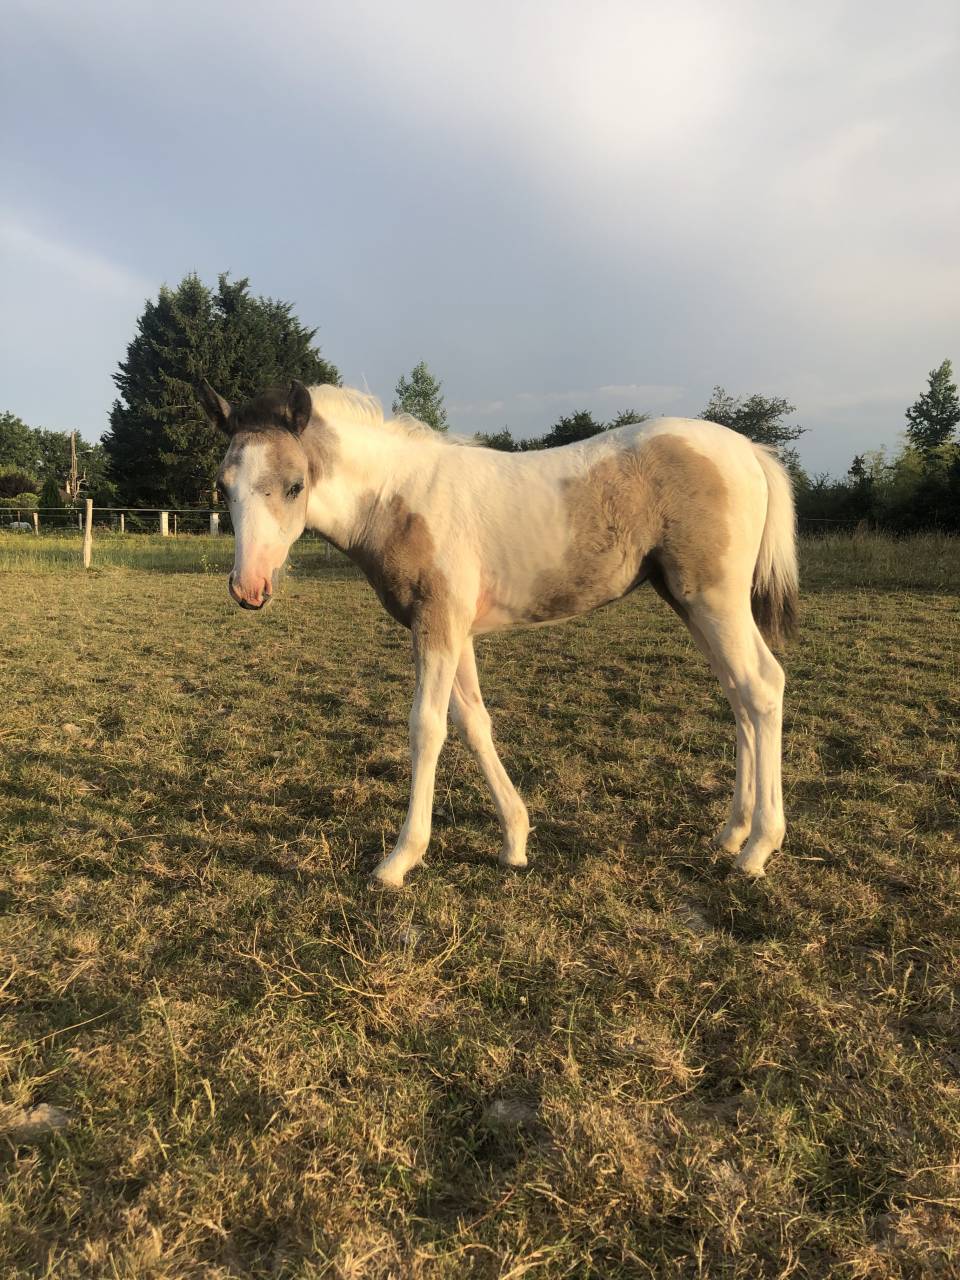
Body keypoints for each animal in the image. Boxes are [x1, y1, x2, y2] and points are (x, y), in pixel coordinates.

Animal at [197, 379, 798, 889]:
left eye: (295, 485)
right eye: (224, 488)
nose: (249, 587)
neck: (398, 497)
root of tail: (749, 450)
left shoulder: (437, 624)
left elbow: (427, 728)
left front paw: (400, 859)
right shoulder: (457, 632)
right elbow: (474, 723)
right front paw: (515, 840)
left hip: (715, 600)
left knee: (762, 686)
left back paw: (757, 849)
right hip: (689, 604)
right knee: (738, 696)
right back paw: (731, 833)